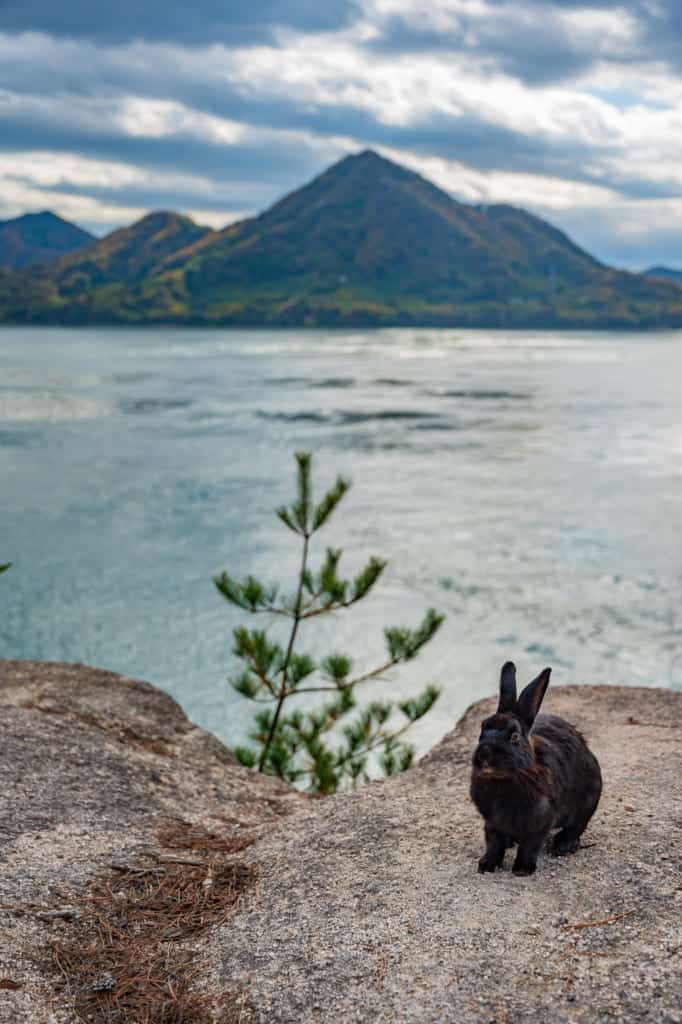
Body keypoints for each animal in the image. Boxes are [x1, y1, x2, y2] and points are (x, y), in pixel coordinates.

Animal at [470, 661, 602, 876]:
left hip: (589, 798)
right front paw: (487, 865)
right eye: (482, 728)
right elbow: (494, 844)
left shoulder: (541, 821)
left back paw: (563, 846)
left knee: (576, 826)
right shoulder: (492, 822)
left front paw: (522, 870)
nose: (484, 756)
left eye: (514, 737)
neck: (505, 781)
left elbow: (530, 846)